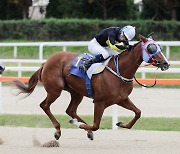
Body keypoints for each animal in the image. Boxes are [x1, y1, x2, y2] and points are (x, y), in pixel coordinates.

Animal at [11, 34, 169, 141]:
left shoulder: (121, 99)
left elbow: (138, 113)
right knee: (45, 105)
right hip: (55, 90)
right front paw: (79, 125)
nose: (166, 63)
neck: (120, 71)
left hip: (76, 92)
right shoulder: (99, 102)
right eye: (151, 48)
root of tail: (46, 62)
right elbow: (96, 125)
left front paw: (121, 123)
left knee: (70, 110)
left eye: (160, 47)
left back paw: (81, 128)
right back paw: (58, 130)